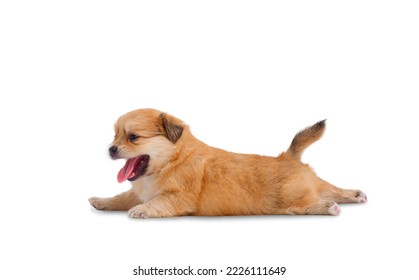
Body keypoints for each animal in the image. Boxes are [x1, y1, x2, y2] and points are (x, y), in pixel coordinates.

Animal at [89, 108, 368, 218]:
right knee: (333, 190)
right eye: (114, 136)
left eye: (133, 137)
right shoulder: (140, 191)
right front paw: (102, 201)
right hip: (312, 185)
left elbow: (157, 203)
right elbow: (121, 197)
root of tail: (287, 156)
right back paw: (355, 195)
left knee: (311, 205)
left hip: (291, 201)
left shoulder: (177, 198)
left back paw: (329, 207)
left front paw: (141, 211)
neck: (171, 159)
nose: (111, 149)